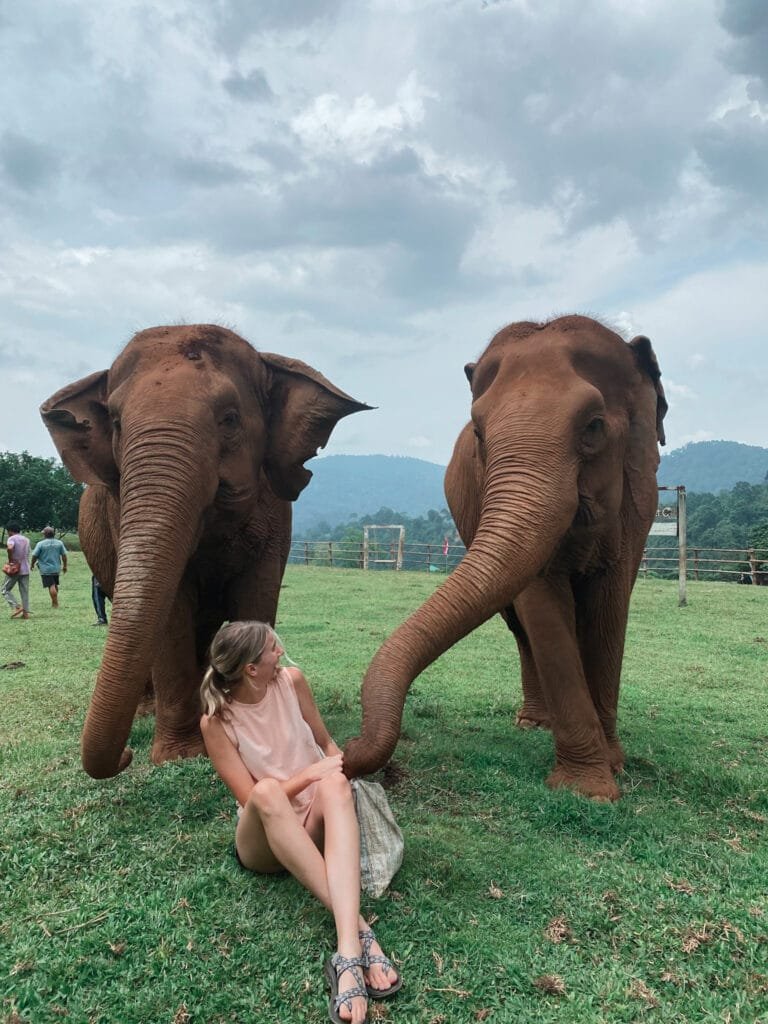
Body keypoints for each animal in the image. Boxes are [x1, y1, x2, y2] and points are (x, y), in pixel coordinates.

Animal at [41, 324, 369, 780]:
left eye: (229, 419)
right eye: (117, 423)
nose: (125, 757)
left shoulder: (275, 515)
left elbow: (257, 595)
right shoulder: (119, 512)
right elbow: (170, 613)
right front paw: (181, 756)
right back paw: (148, 711)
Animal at [344, 315, 667, 801]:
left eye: (593, 427)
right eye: (479, 433)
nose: (346, 749)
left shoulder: (637, 501)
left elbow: (609, 604)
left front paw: (609, 772)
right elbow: (541, 602)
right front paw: (588, 787)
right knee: (520, 628)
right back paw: (533, 723)